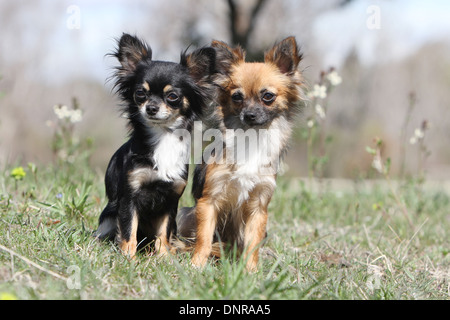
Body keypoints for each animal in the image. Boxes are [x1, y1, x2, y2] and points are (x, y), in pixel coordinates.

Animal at [94, 33, 214, 258]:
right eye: (140, 93)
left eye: (172, 96)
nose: (151, 107)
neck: (162, 138)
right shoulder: (129, 196)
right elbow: (129, 230)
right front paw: (128, 257)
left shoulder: (170, 199)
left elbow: (163, 233)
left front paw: (164, 257)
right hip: (108, 215)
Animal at [178, 36, 304, 272]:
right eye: (237, 97)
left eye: (268, 96)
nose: (250, 115)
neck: (251, 139)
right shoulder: (209, 201)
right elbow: (204, 238)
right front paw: (197, 265)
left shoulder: (258, 207)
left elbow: (252, 243)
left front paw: (250, 272)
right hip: (185, 214)